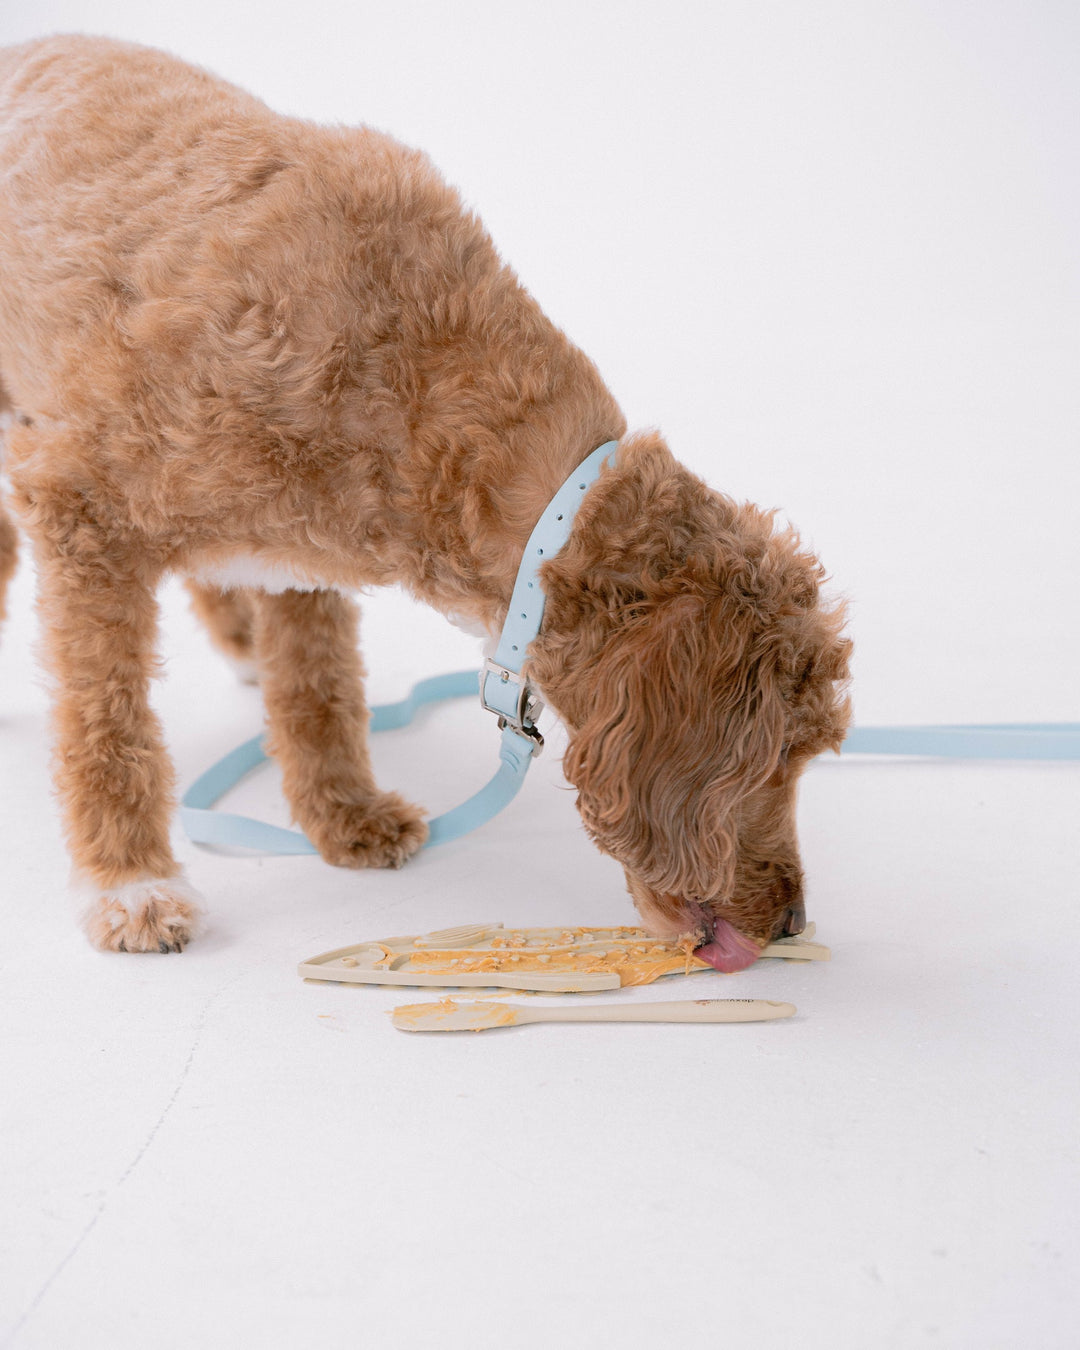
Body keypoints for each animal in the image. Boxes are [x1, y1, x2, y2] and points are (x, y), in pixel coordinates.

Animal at [0, 31, 853, 961]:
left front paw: (345, 814)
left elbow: (319, 691)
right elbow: (106, 722)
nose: (793, 921)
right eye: (779, 755)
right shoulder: (80, 510)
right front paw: (130, 883)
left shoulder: (300, 554)